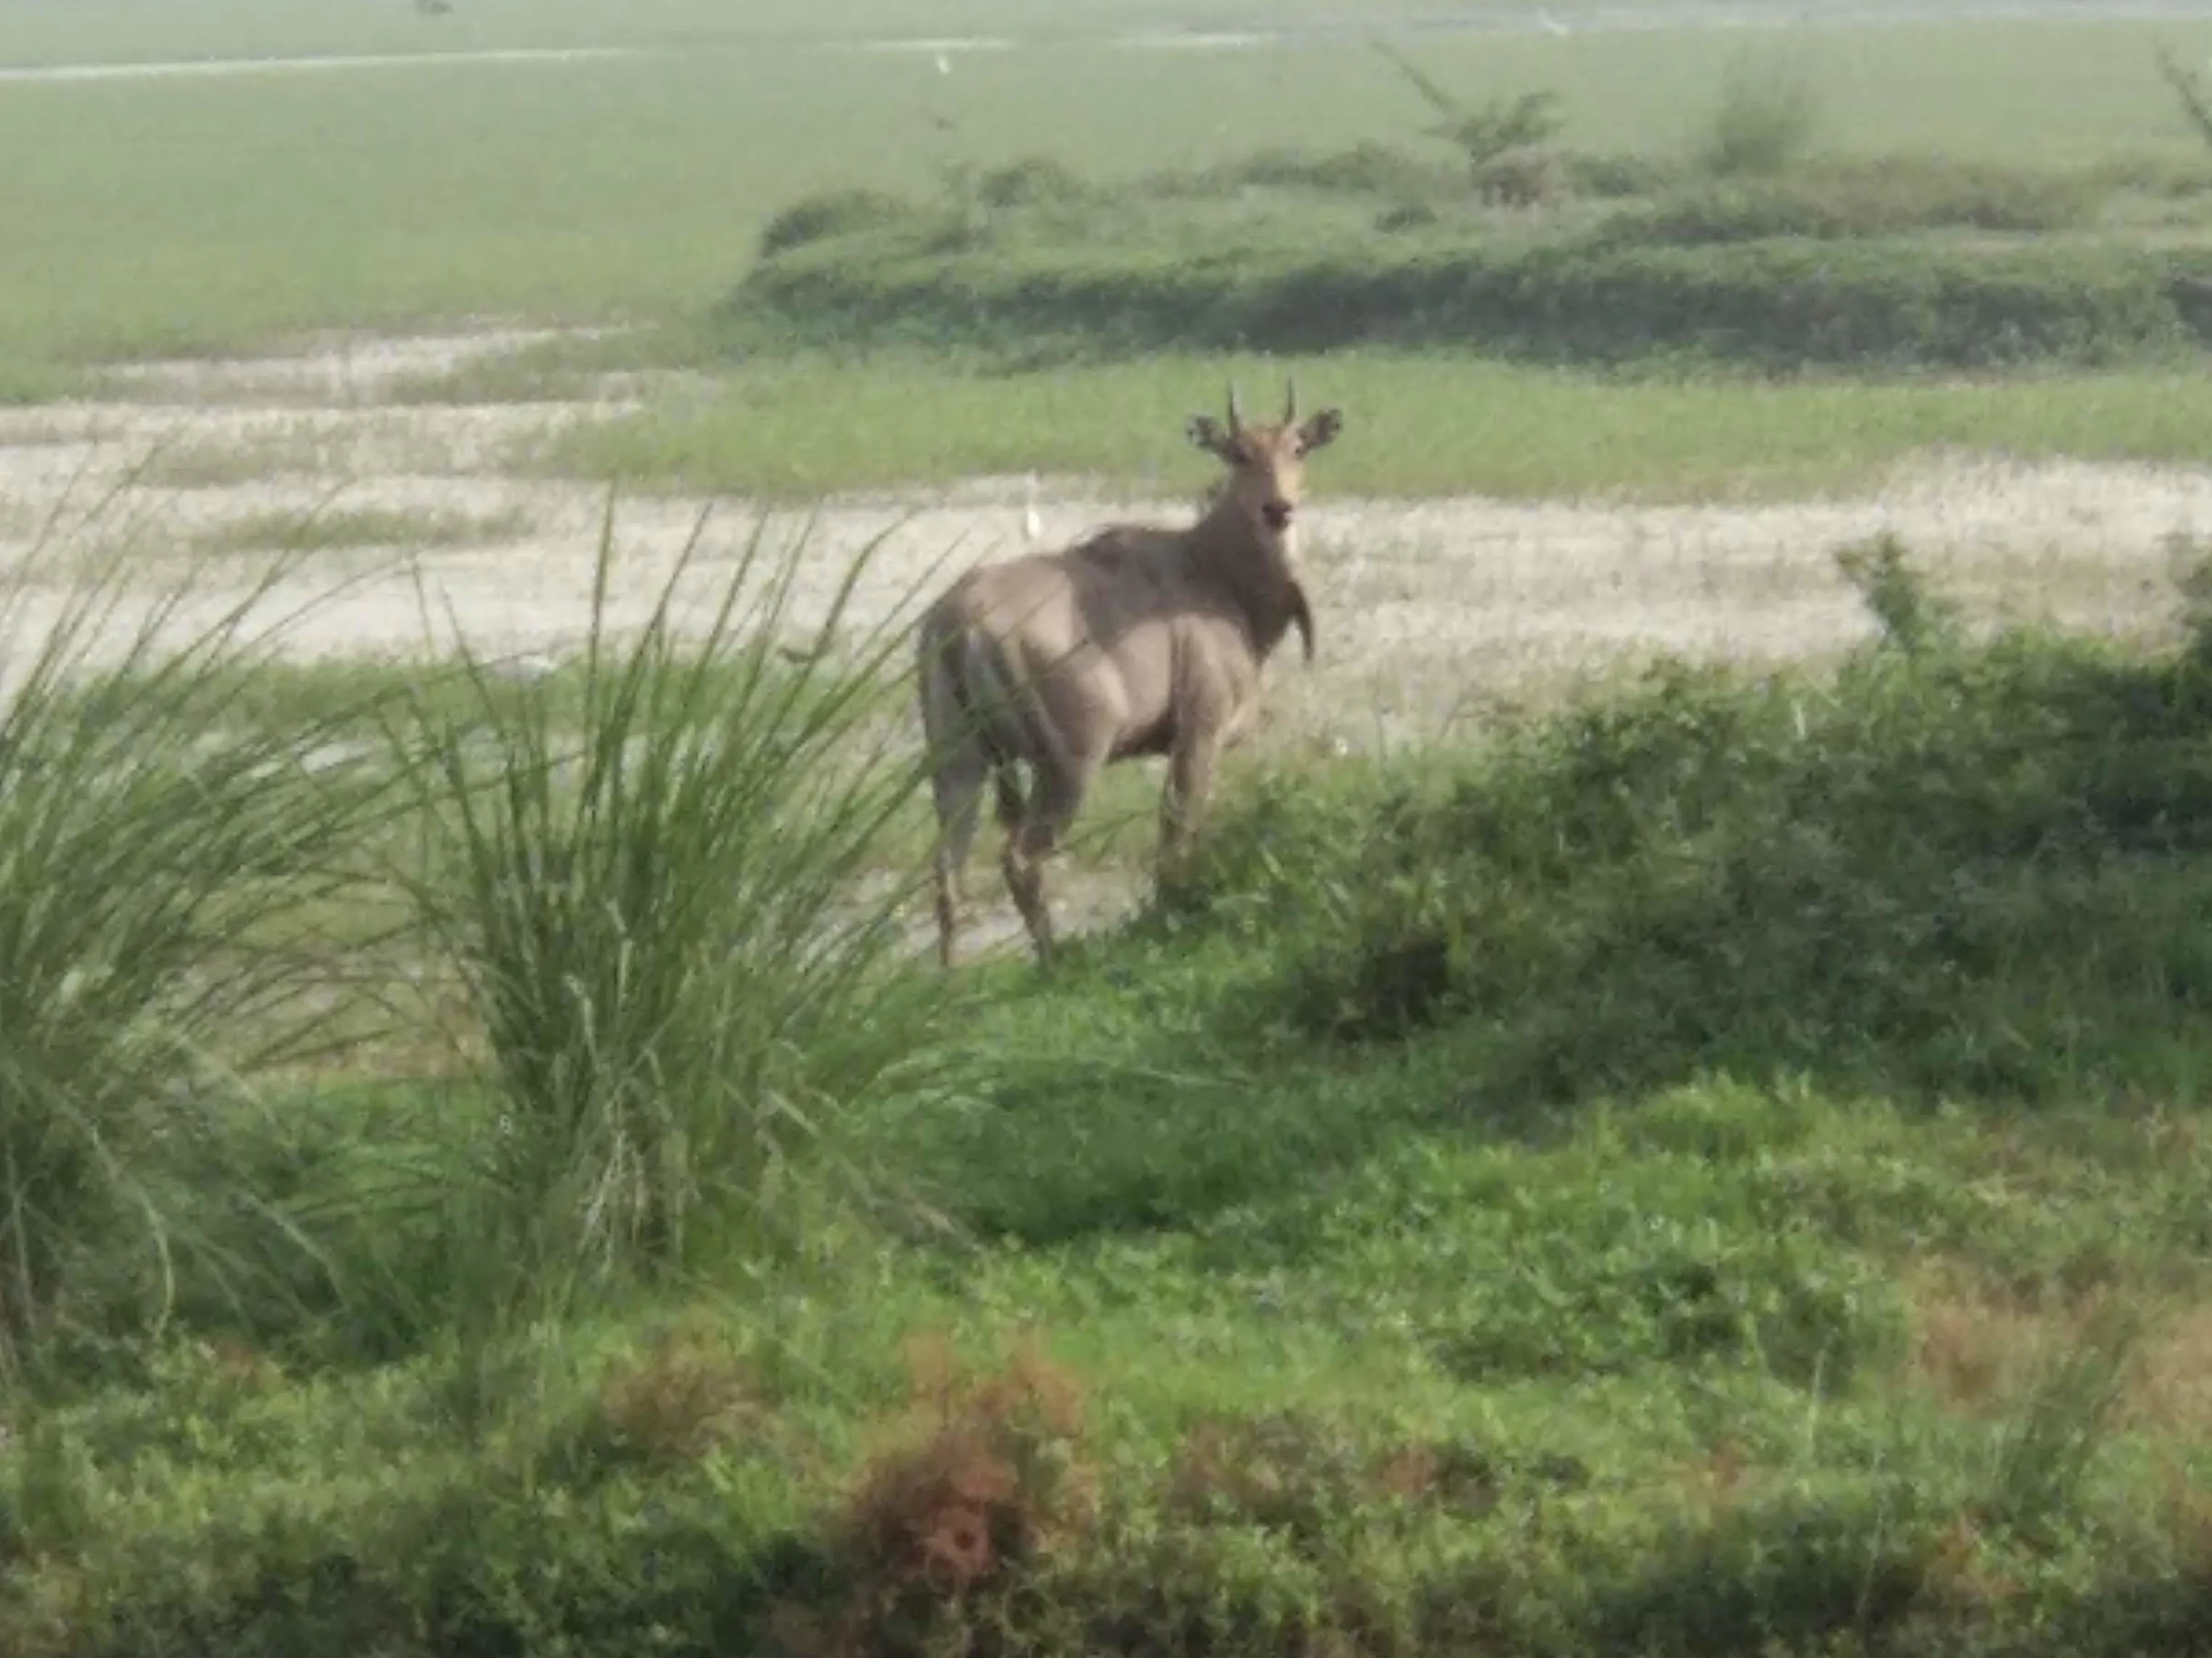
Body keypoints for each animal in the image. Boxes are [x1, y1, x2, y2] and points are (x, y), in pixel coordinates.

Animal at [917, 380, 1344, 967]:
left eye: (1297, 447)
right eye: (1238, 452)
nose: (1277, 508)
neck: (1216, 573)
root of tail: (961, 620)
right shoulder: (1200, 731)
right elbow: (1178, 830)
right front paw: (1171, 917)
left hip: (958, 761)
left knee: (947, 870)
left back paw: (949, 976)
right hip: (1070, 763)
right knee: (1020, 857)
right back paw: (1053, 960)